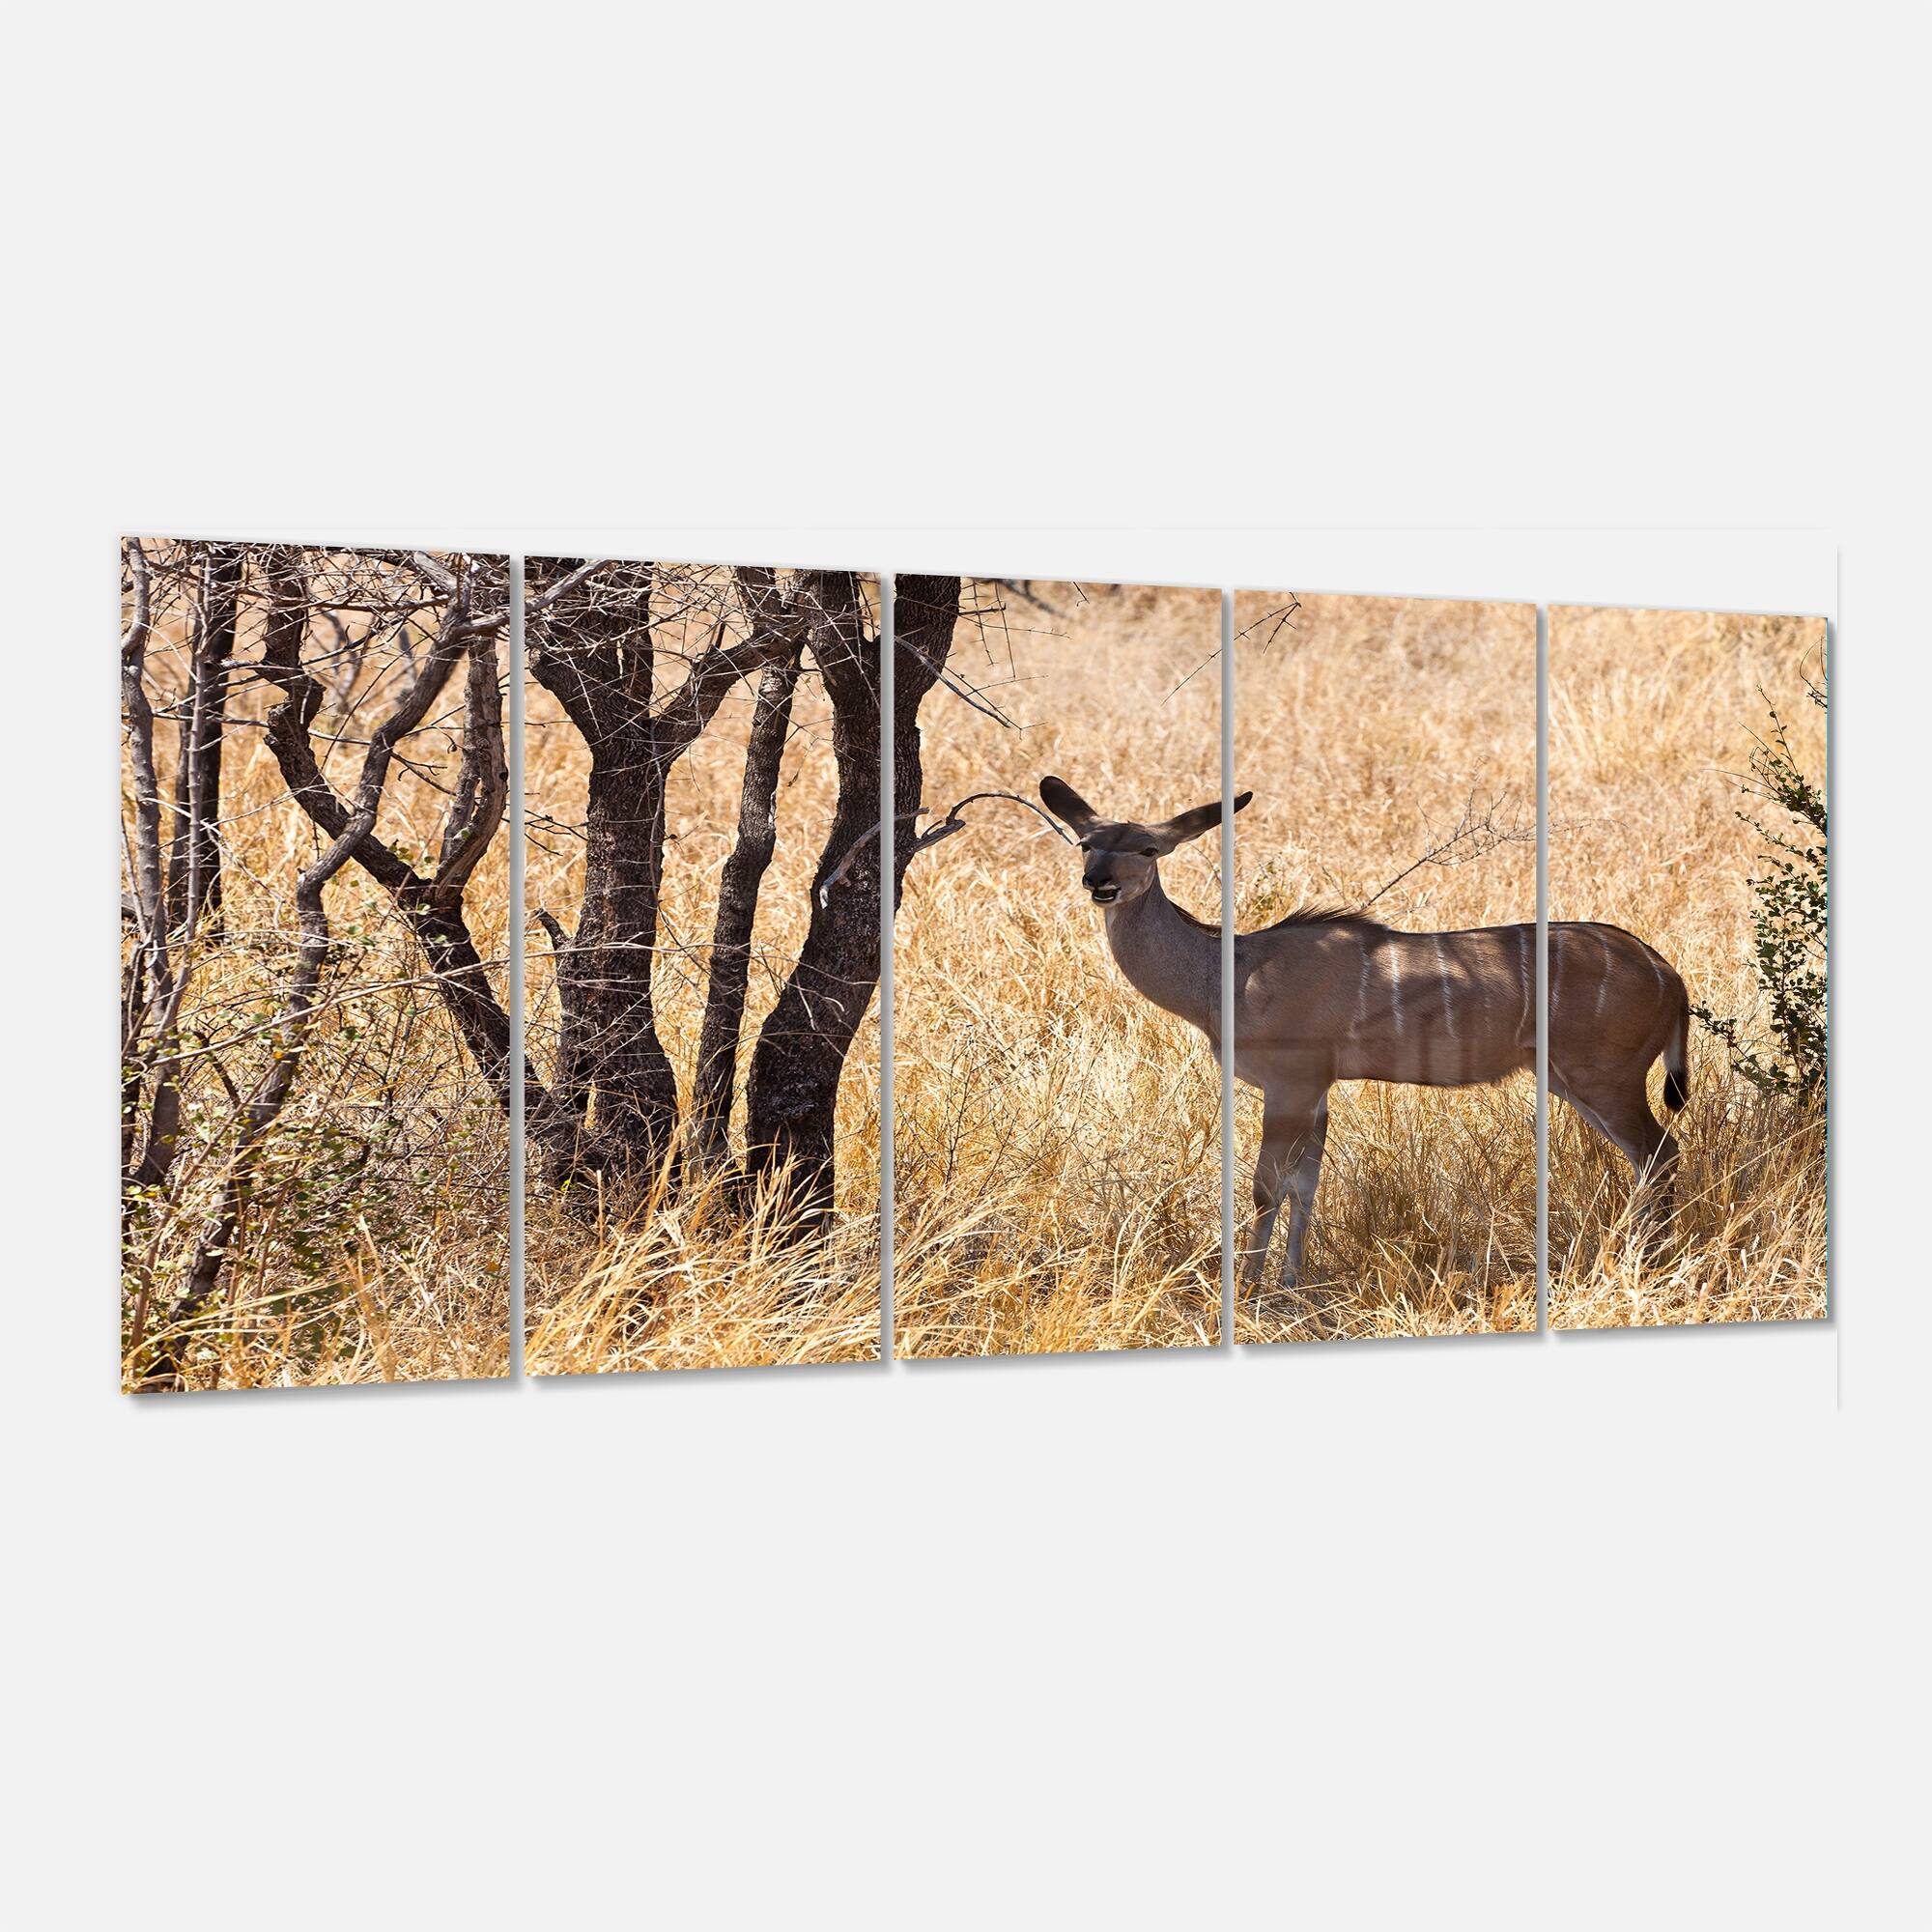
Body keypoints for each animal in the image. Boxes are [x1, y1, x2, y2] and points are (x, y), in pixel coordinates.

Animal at [1039, 776, 1690, 1294]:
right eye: (1087, 842)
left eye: (1148, 847)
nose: (1099, 882)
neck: (1234, 974)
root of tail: (1672, 979)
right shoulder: (1318, 1090)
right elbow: (1305, 1185)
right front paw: (1291, 1283)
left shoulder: (1291, 1083)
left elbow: (1267, 1186)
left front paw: (1249, 1288)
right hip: (1568, 1078)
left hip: (1605, 1077)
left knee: (1659, 1152)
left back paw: (1643, 1259)